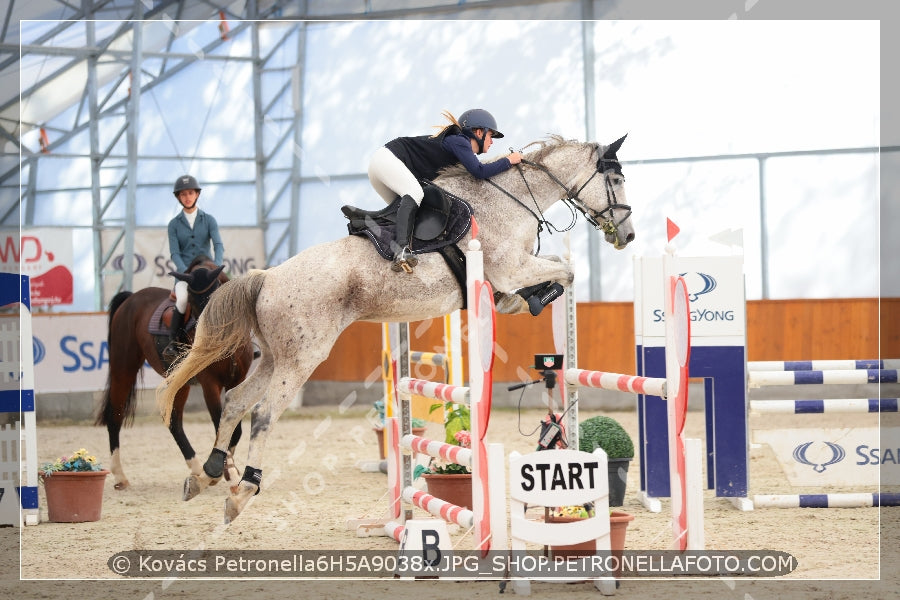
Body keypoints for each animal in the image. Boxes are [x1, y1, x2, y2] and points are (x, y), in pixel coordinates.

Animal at [96, 256, 255, 488]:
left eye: (216, 295)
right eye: (193, 304)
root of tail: (131, 298)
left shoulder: (237, 381)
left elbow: (235, 430)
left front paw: (227, 469)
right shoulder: (210, 385)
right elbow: (220, 425)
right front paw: (225, 471)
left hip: (180, 382)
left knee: (174, 423)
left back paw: (197, 468)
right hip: (123, 368)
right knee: (114, 416)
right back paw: (119, 475)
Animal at [156, 134, 632, 524]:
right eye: (615, 180)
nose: (625, 235)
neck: (510, 201)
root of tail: (267, 277)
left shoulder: (513, 269)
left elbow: (554, 267)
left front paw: (527, 302)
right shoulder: (510, 267)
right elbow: (565, 270)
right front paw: (539, 298)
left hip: (276, 355)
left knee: (236, 401)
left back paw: (207, 474)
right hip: (302, 357)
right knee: (262, 414)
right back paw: (243, 491)